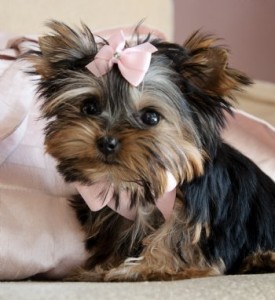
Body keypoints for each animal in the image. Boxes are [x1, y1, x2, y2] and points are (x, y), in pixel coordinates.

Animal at [27, 21, 275, 282]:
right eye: (89, 107)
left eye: (151, 117)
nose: (106, 142)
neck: (140, 183)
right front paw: (100, 268)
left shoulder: (198, 210)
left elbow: (175, 237)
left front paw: (144, 267)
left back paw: (261, 259)